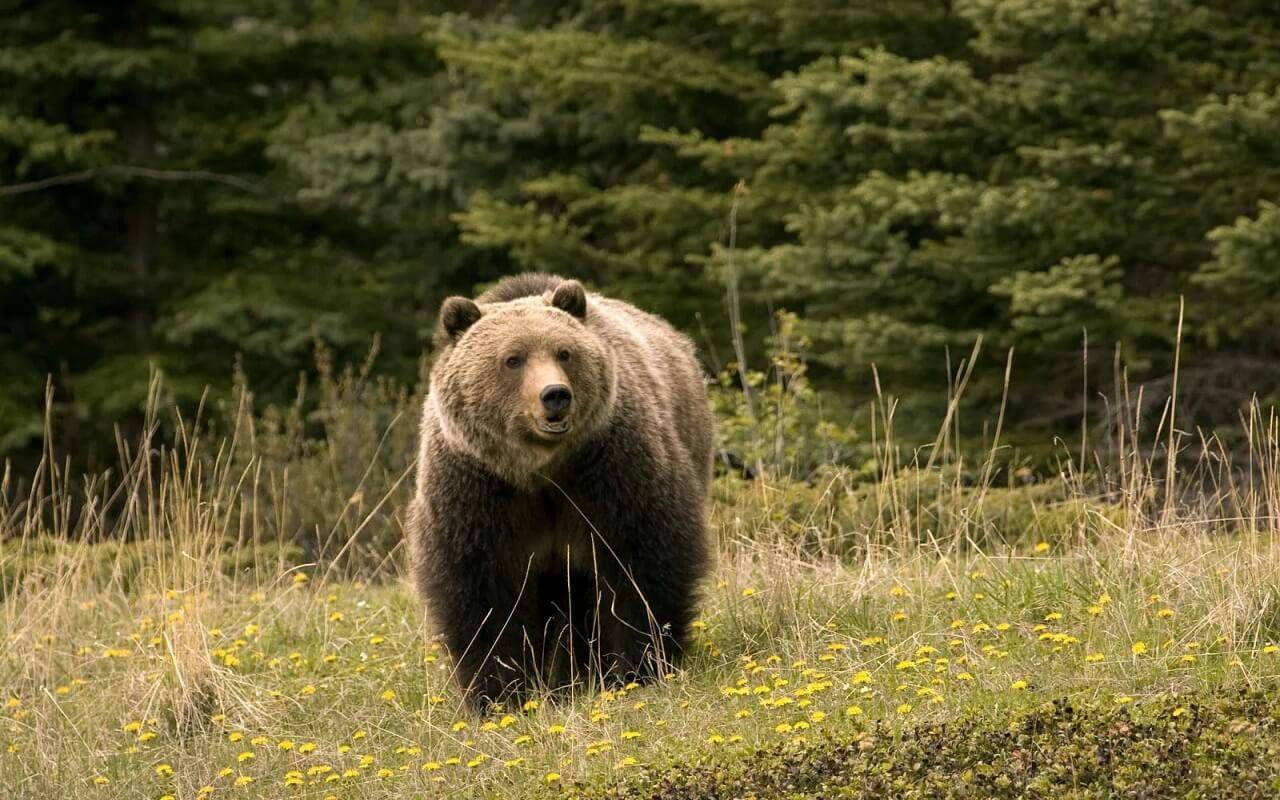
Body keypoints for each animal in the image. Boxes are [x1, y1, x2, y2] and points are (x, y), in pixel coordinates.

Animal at [406, 273, 714, 705]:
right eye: (512, 359)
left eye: (564, 352)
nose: (555, 395)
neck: (540, 470)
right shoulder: (478, 488)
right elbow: (483, 590)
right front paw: (500, 692)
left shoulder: (608, 470)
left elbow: (641, 562)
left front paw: (638, 667)